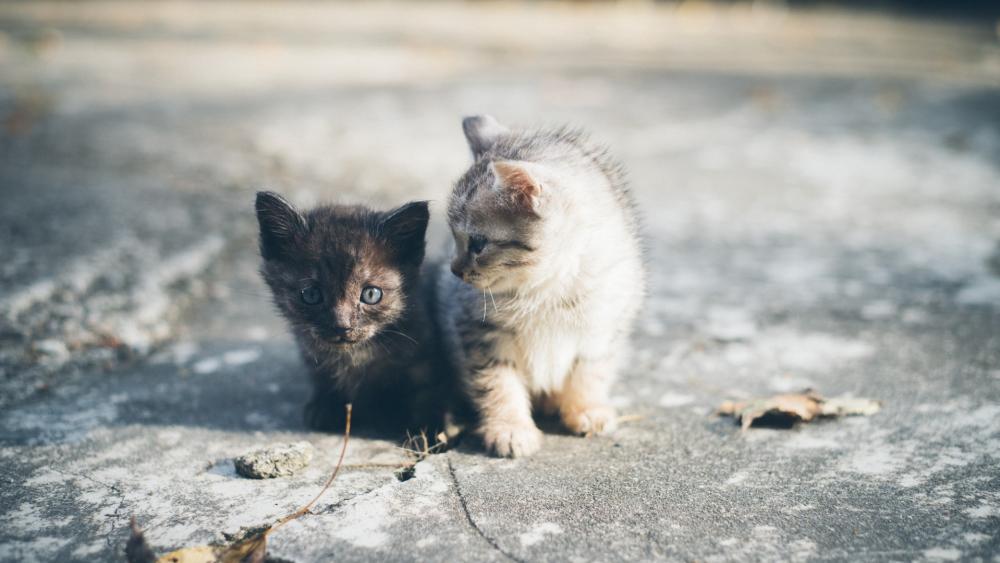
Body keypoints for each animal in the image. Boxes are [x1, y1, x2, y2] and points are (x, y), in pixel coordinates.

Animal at [258, 192, 446, 434]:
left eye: (371, 294)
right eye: (311, 294)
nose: (342, 326)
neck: (356, 355)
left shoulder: (424, 356)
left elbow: (427, 392)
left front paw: (428, 431)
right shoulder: (311, 354)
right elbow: (322, 377)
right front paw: (326, 406)